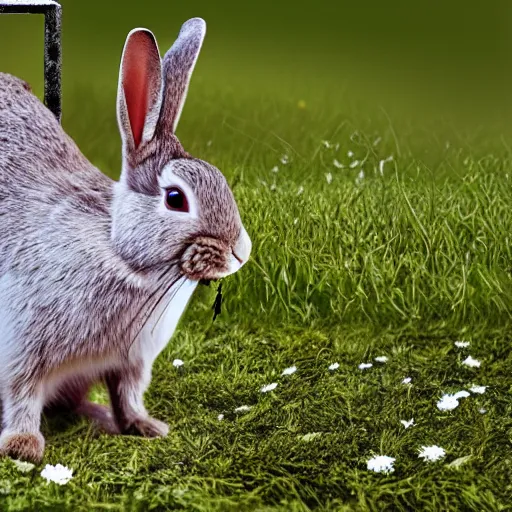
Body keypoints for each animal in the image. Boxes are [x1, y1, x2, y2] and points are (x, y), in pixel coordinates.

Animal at [0, 18, 250, 462]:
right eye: (175, 199)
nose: (242, 252)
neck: (122, 256)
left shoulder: (130, 359)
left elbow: (127, 394)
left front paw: (146, 427)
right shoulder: (20, 343)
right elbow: (22, 393)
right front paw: (23, 447)